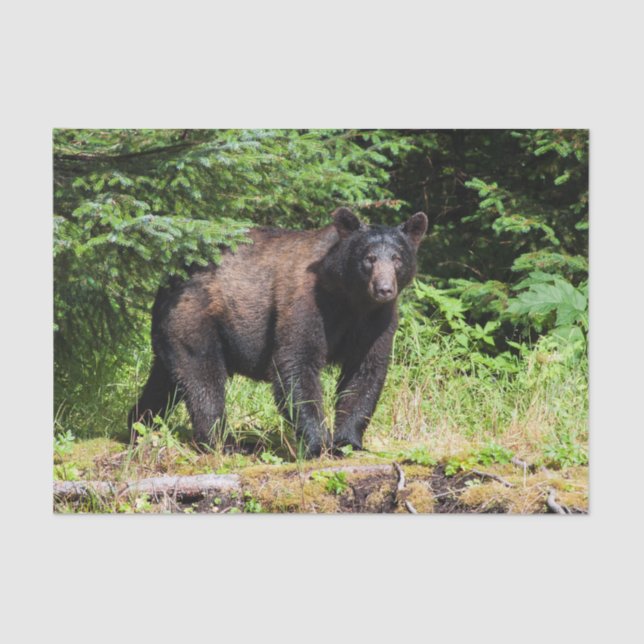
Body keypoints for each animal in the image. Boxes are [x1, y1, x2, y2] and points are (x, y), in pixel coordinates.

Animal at [128, 208, 428, 458]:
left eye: (397, 258)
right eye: (369, 258)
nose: (384, 288)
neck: (350, 300)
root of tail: (168, 279)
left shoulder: (376, 321)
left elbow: (365, 372)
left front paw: (347, 442)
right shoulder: (307, 303)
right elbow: (296, 363)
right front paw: (317, 444)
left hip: (173, 332)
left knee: (165, 380)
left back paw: (139, 424)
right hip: (195, 318)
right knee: (203, 378)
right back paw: (225, 443)